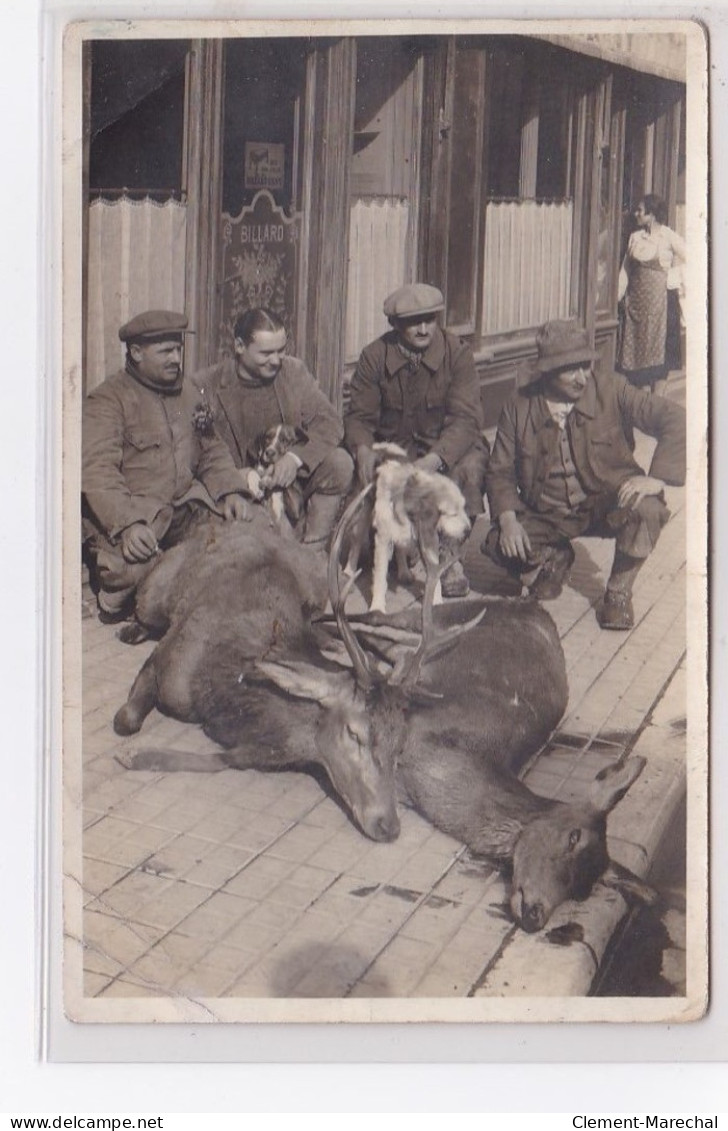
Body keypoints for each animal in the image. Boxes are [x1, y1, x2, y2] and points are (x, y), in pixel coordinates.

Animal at [345, 445, 472, 615]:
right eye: (453, 513)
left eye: (463, 507)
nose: (468, 531)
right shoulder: (383, 539)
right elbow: (380, 577)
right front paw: (377, 606)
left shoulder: (429, 538)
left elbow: (434, 574)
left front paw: (437, 602)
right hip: (363, 510)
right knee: (356, 540)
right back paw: (349, 571)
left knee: (400, 547)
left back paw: (404, 572)